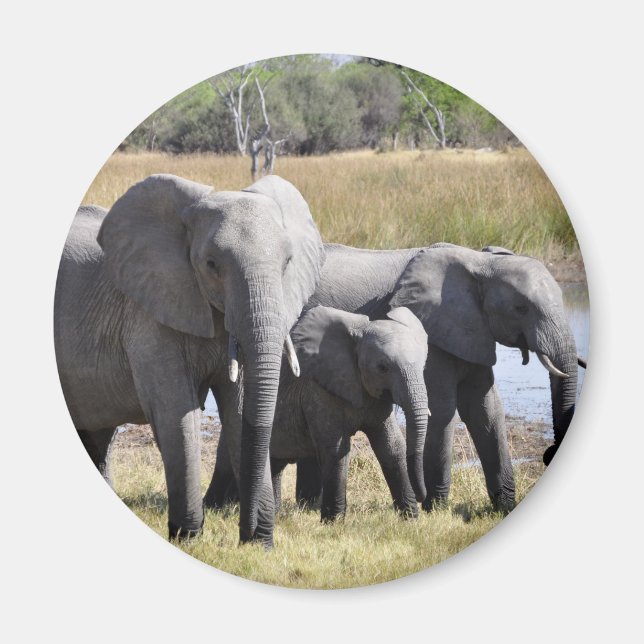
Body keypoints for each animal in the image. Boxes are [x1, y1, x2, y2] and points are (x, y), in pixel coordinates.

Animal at [54, 173, 325, 547]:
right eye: (211, 265)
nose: (247, 535)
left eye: (287, 263)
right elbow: (176, 412)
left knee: (97, 435)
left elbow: (240, 409)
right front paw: (188, 538)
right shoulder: (149, 314)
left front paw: (259, 544)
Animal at [208, 242, 579, 514]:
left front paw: (504, 508)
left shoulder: (471, 332)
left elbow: (485, 410)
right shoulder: (434, 330)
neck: (479, 262)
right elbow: (442, 410)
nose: (549, 453)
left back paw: (300, 507)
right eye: (521, 308)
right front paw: (435, 510)